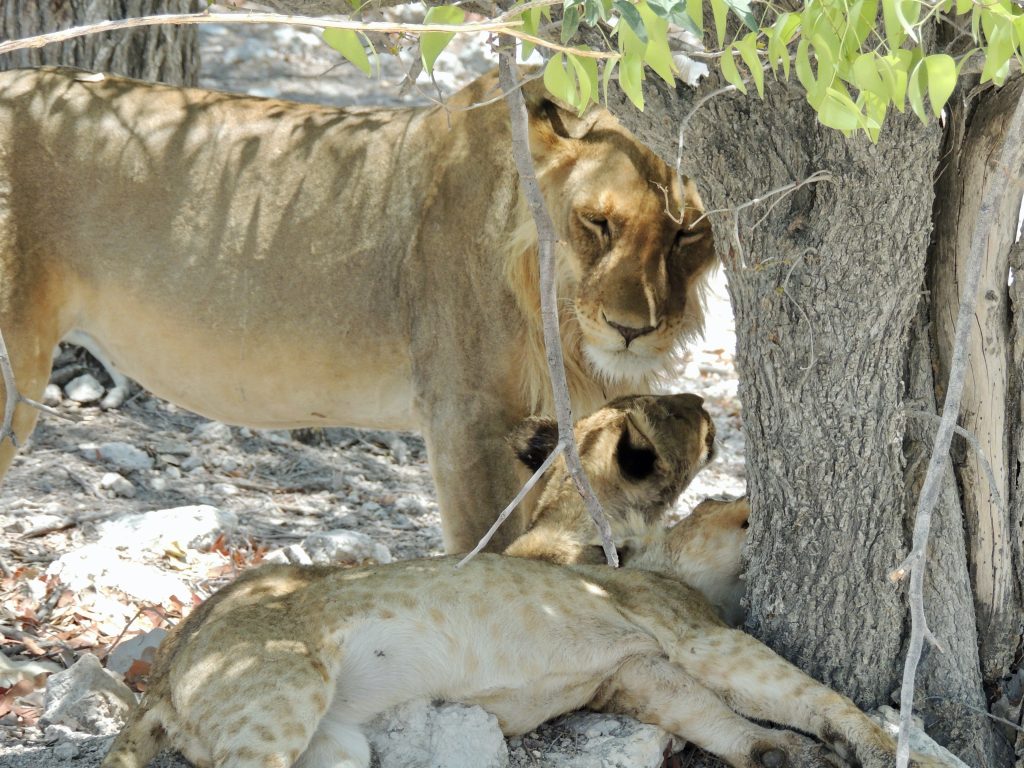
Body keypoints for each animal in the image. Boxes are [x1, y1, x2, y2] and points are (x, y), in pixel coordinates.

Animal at [101, 397, 939, 768]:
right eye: (676, 410)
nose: (706, 405)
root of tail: (159, 679)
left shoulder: (637, 672)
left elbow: (714, 719)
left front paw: (779, 753)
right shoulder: (694, 637)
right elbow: (814, 695)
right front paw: (897, 750)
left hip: (335, 750)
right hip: (280, 695)